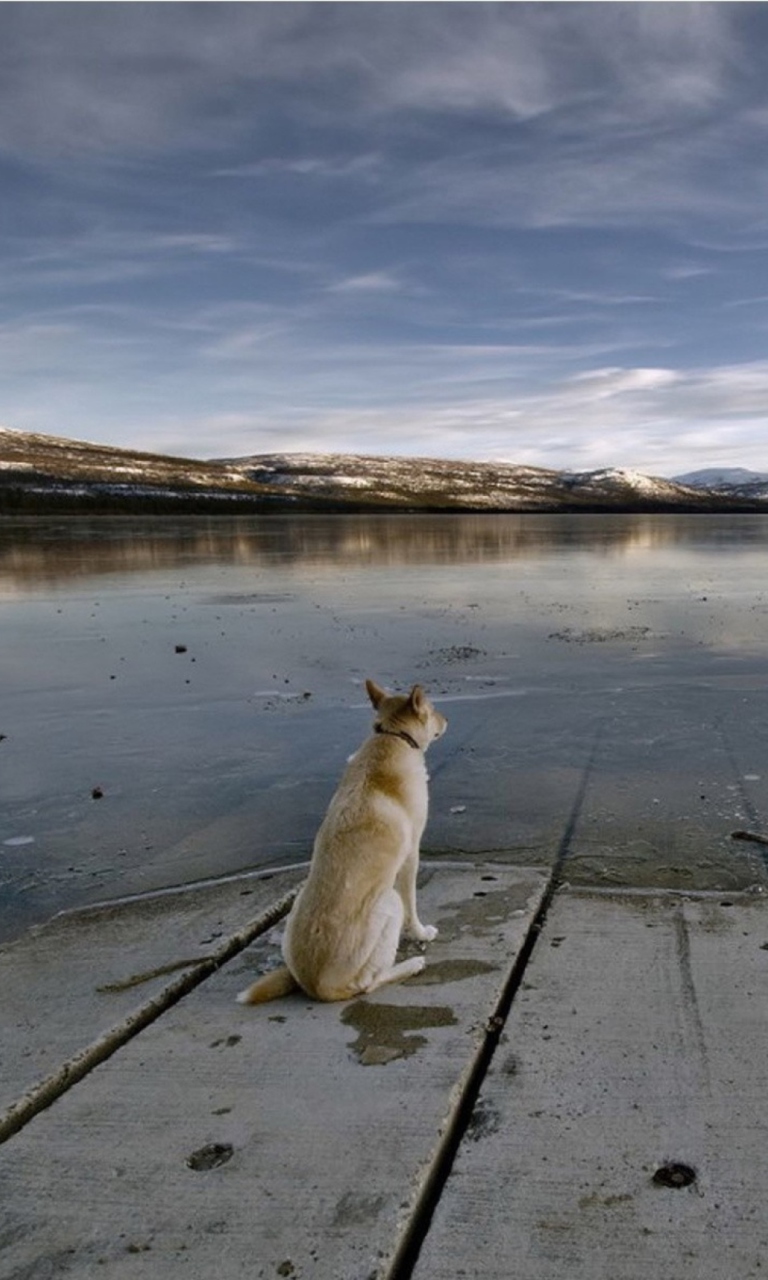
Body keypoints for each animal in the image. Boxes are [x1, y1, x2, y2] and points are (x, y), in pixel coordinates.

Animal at [236, 686, 448, 1003]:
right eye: (432, 710)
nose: (446, 719)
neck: (392, 736)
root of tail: (314, 986)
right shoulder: (411, 855)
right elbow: (412, 905)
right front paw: (421, 933)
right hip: (388, 901)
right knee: (368, 984)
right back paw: (412, 965)